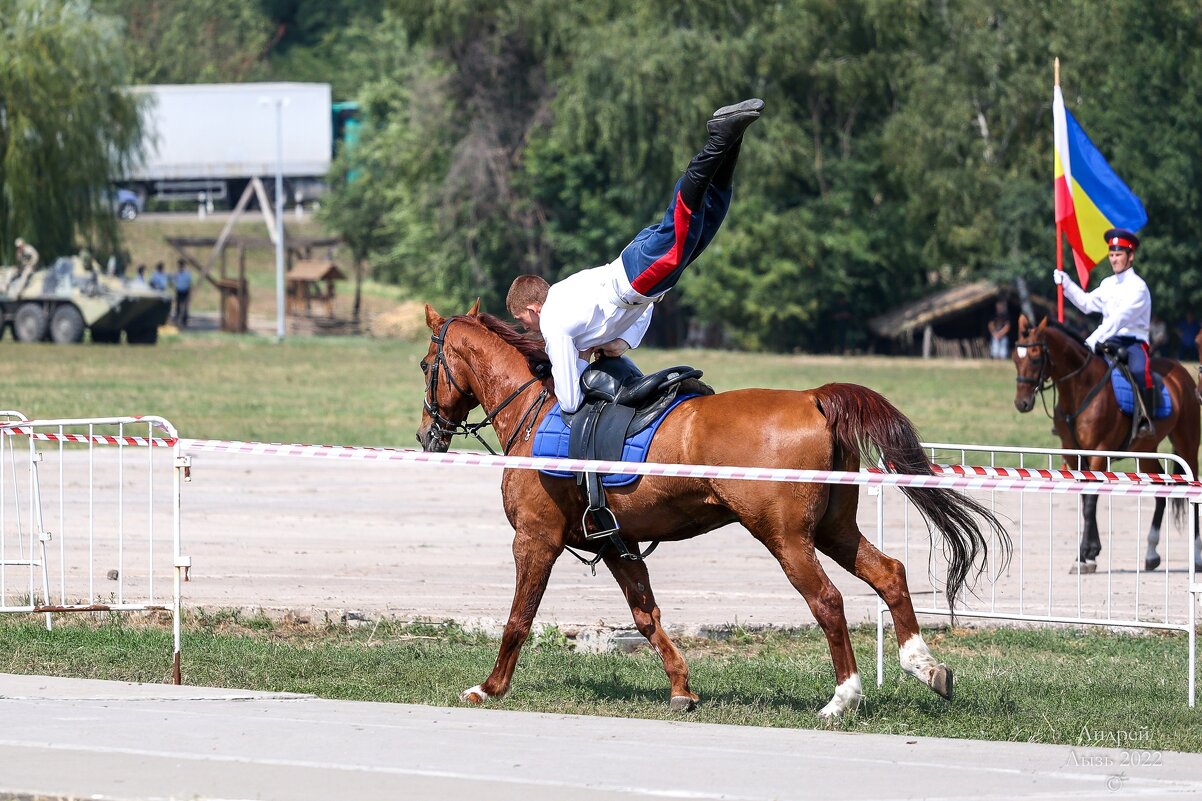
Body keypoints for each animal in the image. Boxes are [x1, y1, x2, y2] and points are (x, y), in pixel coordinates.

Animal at [418, 305, 1009, 716]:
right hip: (833, 530)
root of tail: (813, 396)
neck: (535, 410)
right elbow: (646, 616)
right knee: (889, 574)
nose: (427, 435)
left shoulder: (535, 539)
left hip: (786, 537)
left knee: (828, 601)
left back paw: (844, 697)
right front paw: (681, 688)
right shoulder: (616, 544)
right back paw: (924, 666)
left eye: (426, 365)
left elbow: (519, 618)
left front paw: (490, 687)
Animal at [1009, 312, 1197, 567]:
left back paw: (1196, 555)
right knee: (1161, 493)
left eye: (1036, 358)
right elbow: (1084, 498)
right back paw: (1151, 552)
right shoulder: (1073, 454)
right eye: (1014, 359)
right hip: (1146, 450)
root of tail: (1181, 372)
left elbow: (1090, 501)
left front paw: (1085, 553)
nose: (1022, 403)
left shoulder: (1099, 451)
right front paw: (1090, 550)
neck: (1082, 387)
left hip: (1187, 444)